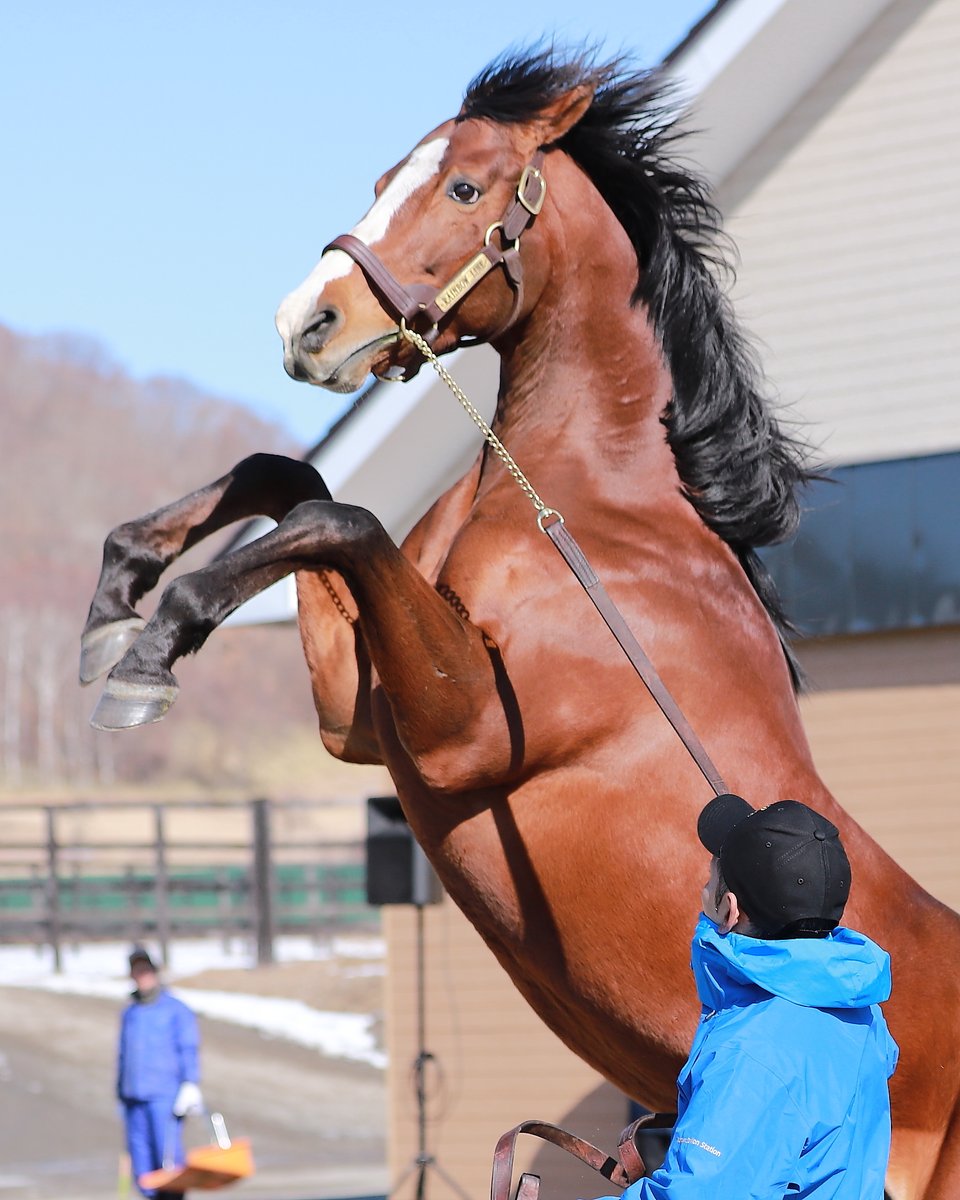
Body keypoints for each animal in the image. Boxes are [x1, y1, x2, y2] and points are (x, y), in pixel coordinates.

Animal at [80, 51, 960, 1195]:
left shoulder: (463, 737)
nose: (306, 326)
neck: (591, 514)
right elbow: (293, 486)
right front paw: (118, 594)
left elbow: (336, 516)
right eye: (382, 179)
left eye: (463, 189)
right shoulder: (359, 715)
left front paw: (148, 649)